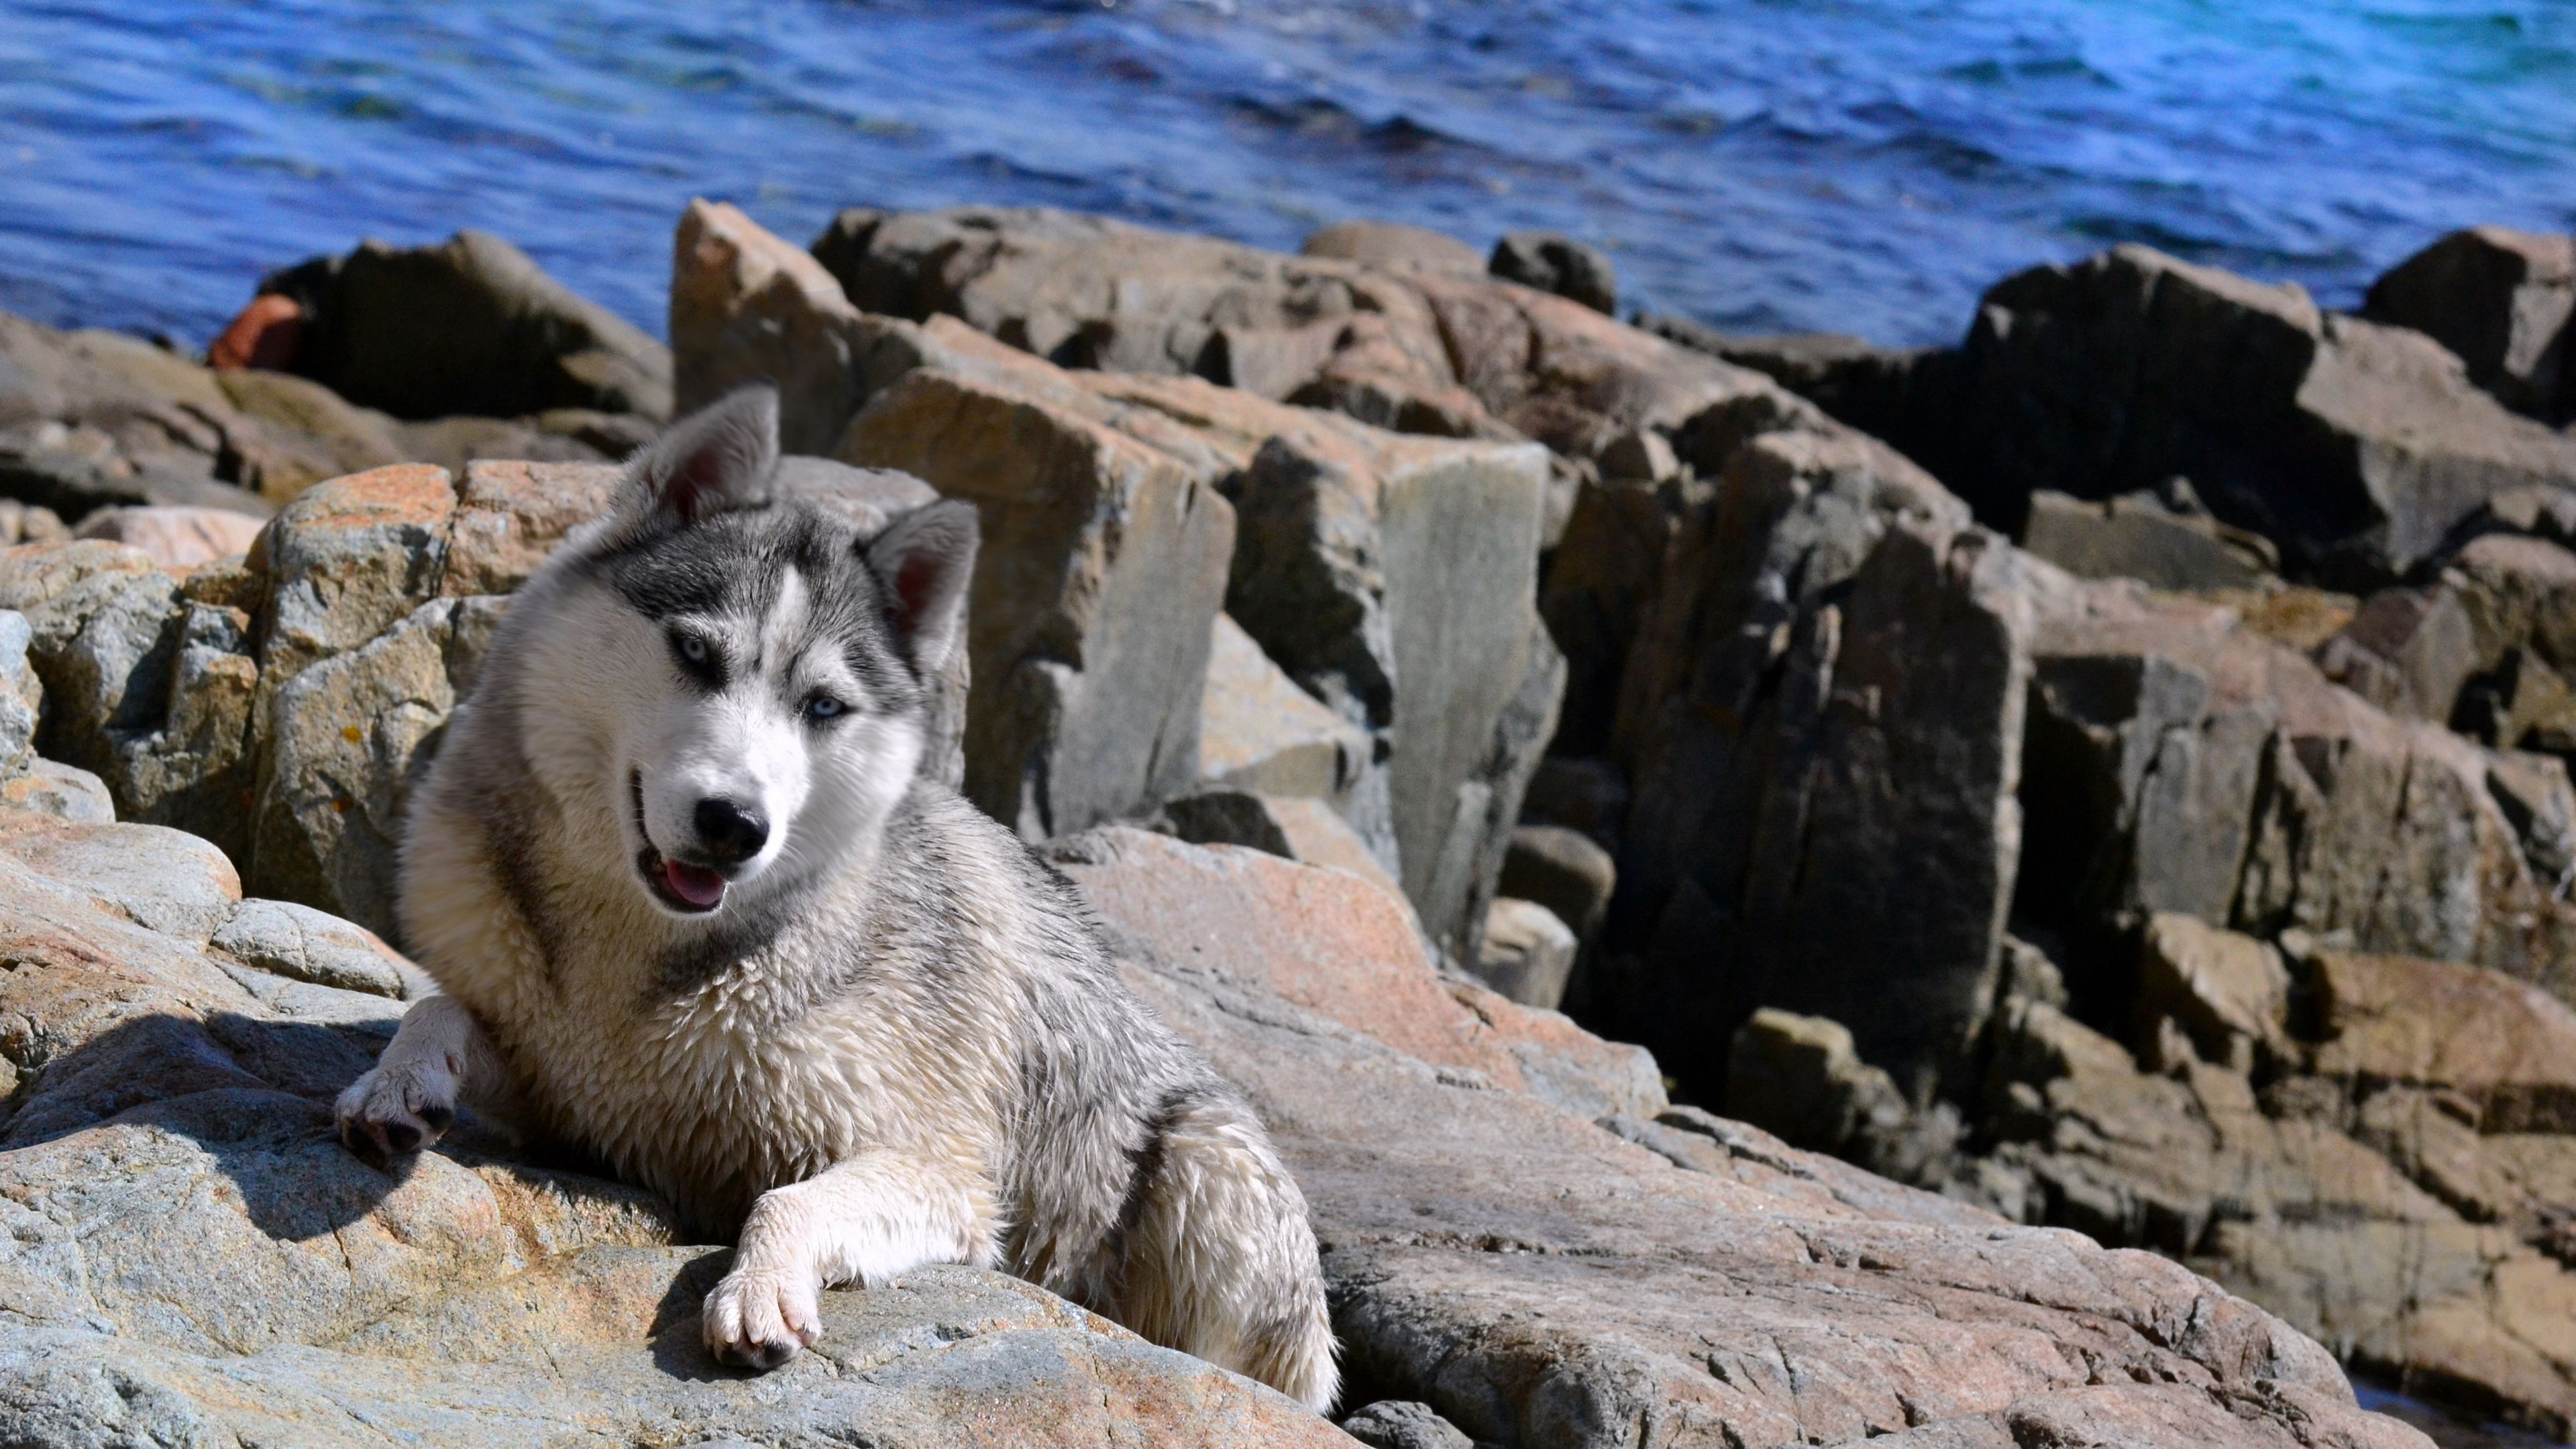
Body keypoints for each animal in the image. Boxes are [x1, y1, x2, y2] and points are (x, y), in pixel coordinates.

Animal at [335, 389, 1339, 1402]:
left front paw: (761, 1287)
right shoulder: (564, 1098)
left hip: (1208, 1163)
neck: (644, 953)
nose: (734, 824)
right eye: (695, 653)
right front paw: (396, 1080)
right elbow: (436, 1007)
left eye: (822, 706)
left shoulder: (942, 1172)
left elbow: (788, 1198)